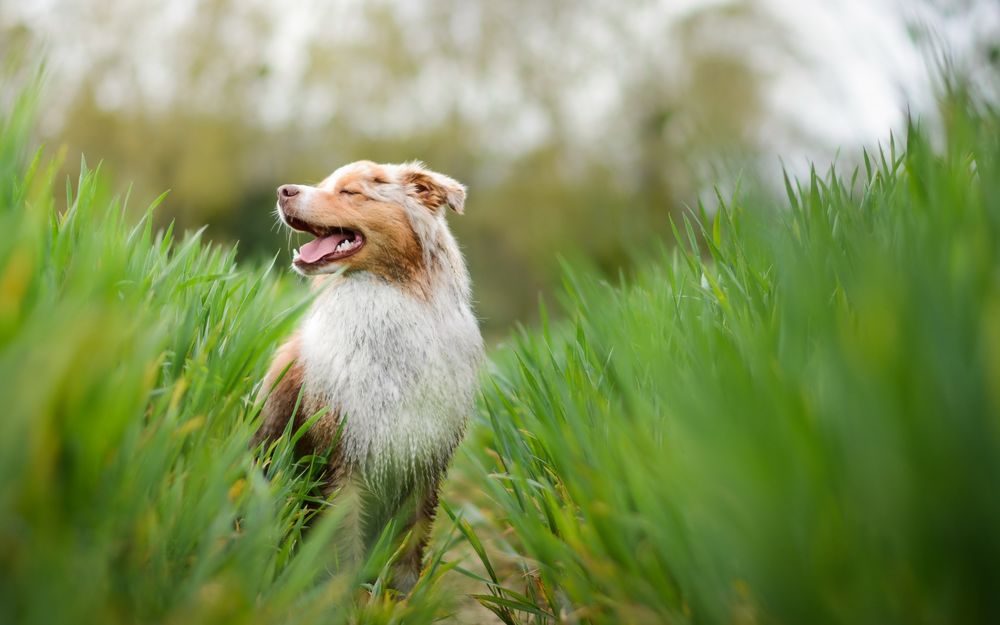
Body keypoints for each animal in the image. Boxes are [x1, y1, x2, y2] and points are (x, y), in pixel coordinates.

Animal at [252, 158, 482, 588]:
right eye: (326, 184)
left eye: (350, 192)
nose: (283, 191)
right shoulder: (341, 456)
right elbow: (343, 549)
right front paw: (344, 597)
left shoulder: (425, 460)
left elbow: (408, 550)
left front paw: (400, 597)